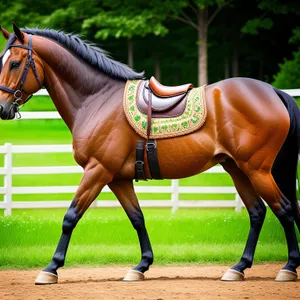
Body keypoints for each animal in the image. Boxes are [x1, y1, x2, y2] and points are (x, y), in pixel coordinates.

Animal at [0, 24, 300, 284]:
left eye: (13, 63)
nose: (3, 108)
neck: (97, 99)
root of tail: (273, 91)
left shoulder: (98, 170)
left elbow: (70, 216)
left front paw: (51, 268)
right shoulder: (117, 178)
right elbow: (137, 218)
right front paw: (142, 265)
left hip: (256, 169)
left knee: (283, 209)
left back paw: (288, 267)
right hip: (236, 168)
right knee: (257, 212)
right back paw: (239, 267)